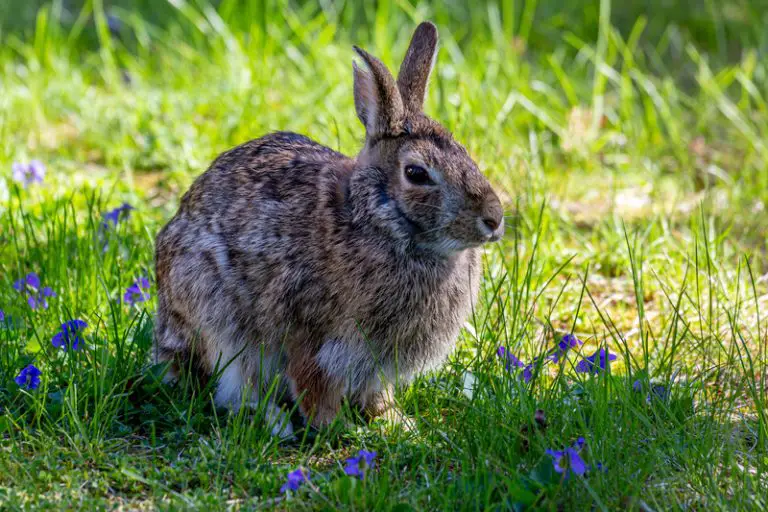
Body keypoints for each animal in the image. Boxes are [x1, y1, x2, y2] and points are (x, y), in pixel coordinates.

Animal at [153, 21, 504, 437]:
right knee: (235, 388)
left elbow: (374, 392)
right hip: (216, 319)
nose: (494, 219)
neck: (379, 222)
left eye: (467, 154)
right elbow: (313, 385)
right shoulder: (315, 335)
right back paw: (275, 422)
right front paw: (337, 427)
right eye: (417, 173)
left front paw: (396, 422)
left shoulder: (376, 362)